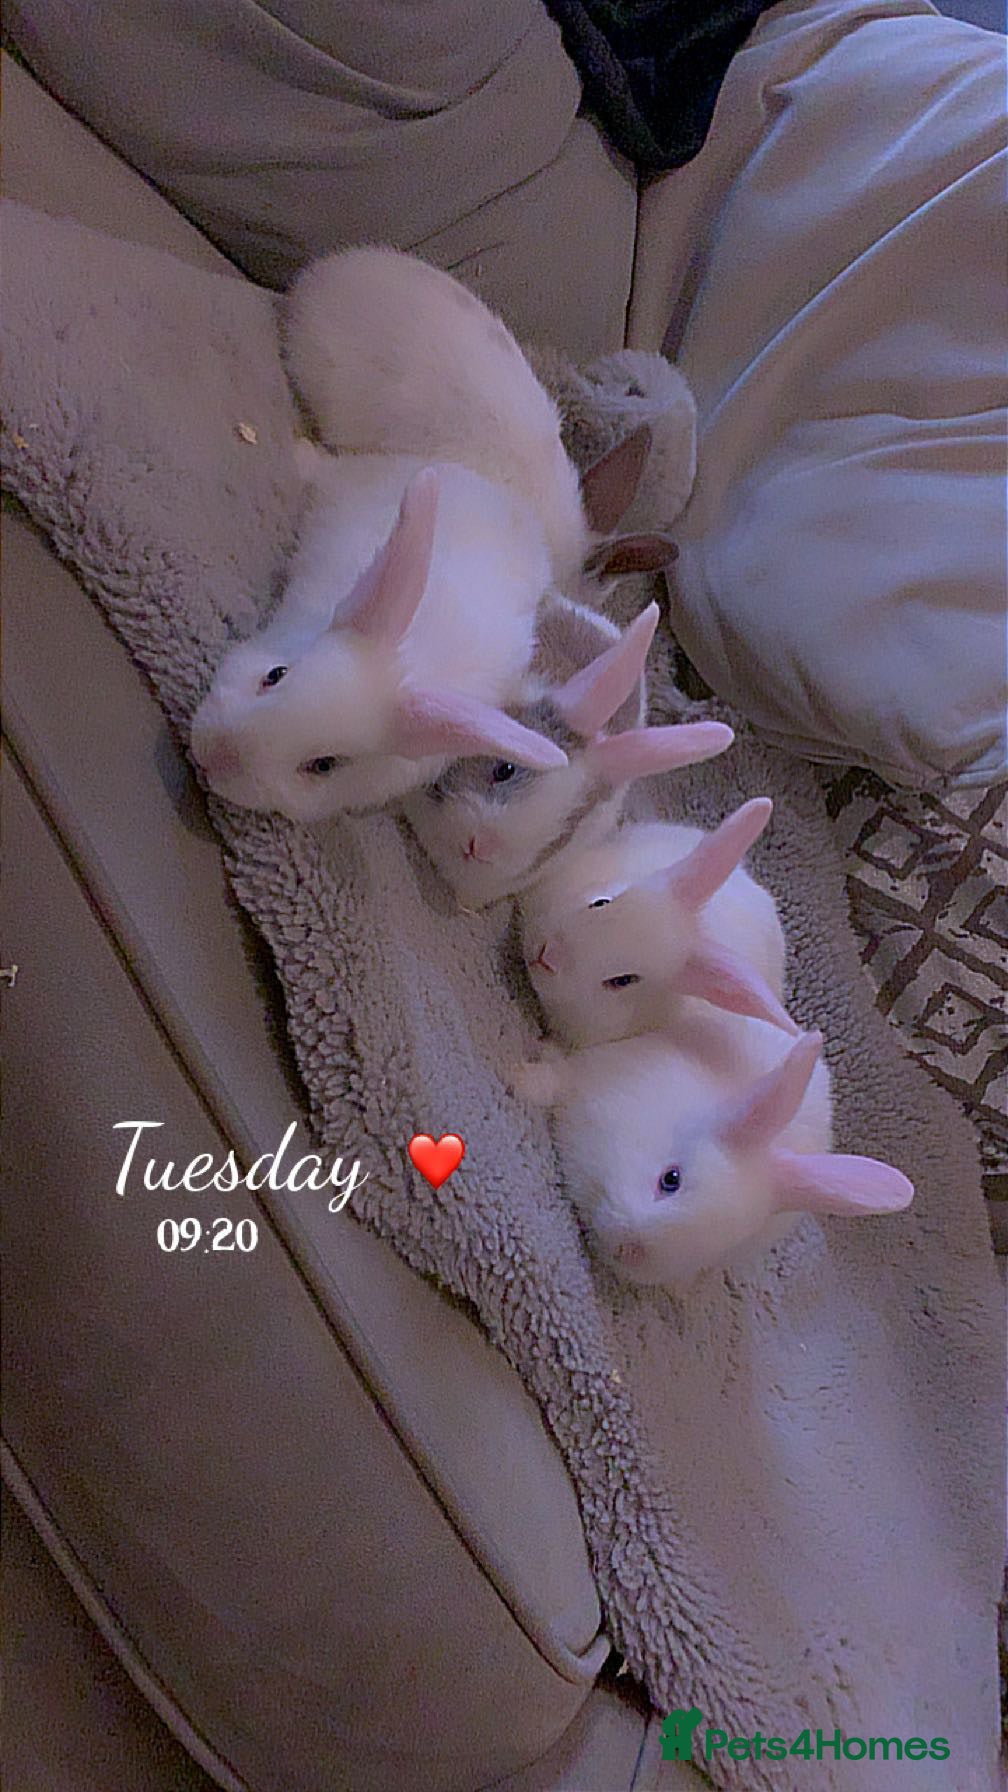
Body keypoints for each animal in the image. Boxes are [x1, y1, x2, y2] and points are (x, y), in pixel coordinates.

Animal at [515, 1023, 914, 1287]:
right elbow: (553, 1078)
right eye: (671, 1179)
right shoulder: (587, 1074)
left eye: (718, 1247)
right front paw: (519, 1072)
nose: (629, 1251)